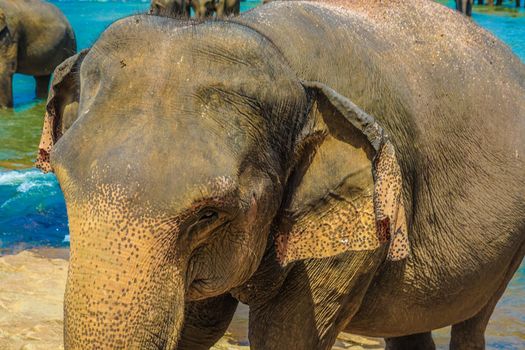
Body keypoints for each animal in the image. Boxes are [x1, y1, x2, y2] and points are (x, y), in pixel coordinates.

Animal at [34, 0, 520, 350]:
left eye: (209, 214)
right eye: (63, 183)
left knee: (471, 323)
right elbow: (198, 325)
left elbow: (284, 335)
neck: (276, 50)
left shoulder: (354, 227)